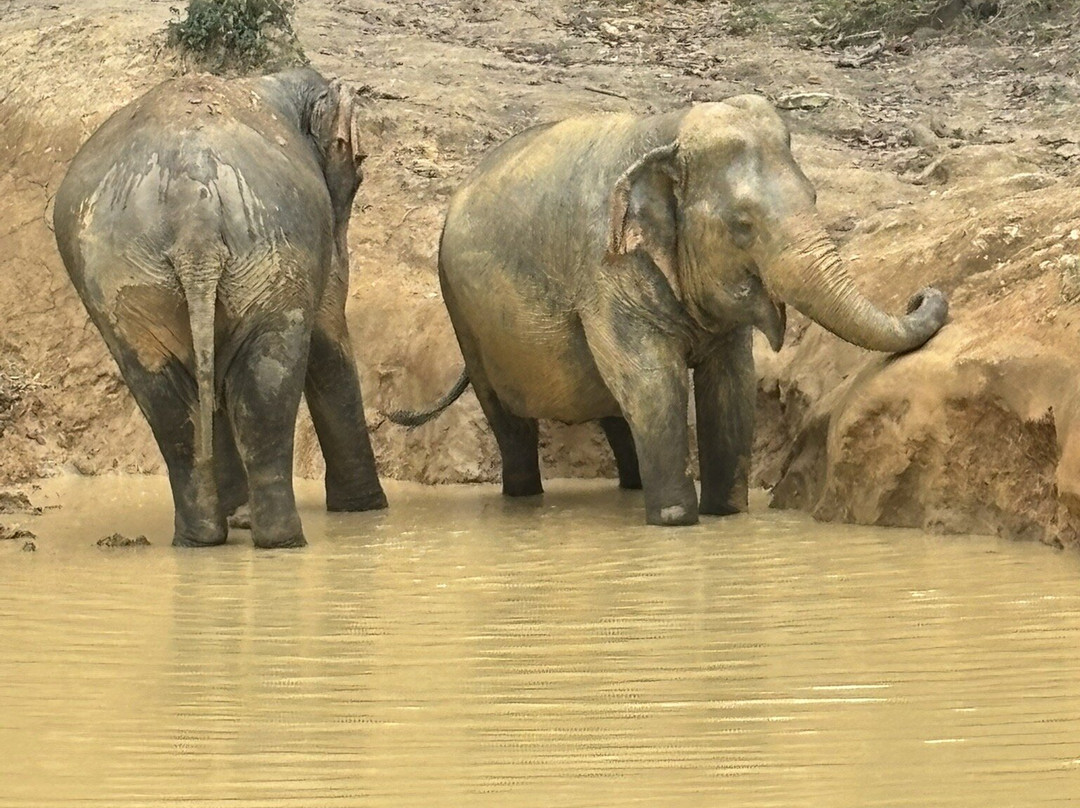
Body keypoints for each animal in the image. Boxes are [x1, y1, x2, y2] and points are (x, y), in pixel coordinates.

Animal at [53, 67, 387, 548]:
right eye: (356, 177)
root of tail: (193, 213)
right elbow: (326, 338)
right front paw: (365, 509)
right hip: (272, 247)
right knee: (269, 384)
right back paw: (283, 541)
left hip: (125, 278)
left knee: (172, 404)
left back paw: (201, 540)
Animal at [390, 95, 948, 526]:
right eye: (742, 225)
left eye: (813, 196)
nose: (925, 295)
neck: (667, 133)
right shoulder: (609, 271)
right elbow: (654, 381)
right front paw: (677, 521)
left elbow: (731, 384)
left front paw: (728, 514)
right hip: (466, 318)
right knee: (512, 419)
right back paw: (525, 498)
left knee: (614, 407)